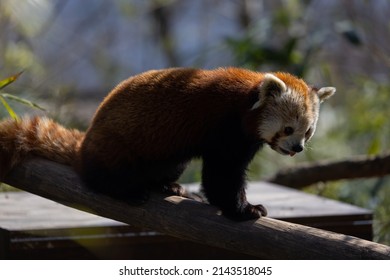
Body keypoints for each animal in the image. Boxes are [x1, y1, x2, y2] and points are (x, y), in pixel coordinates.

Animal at [0, 67, 336, 221]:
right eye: (288, 128)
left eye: (308, 132)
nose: (297, 149)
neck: (244, 103)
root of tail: (84, 147)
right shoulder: (223, 128)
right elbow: (222, 176)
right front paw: (244, 209)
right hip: (114, 145)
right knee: (106, 172)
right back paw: (126, 189)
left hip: (170, 158)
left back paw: (167, 186)